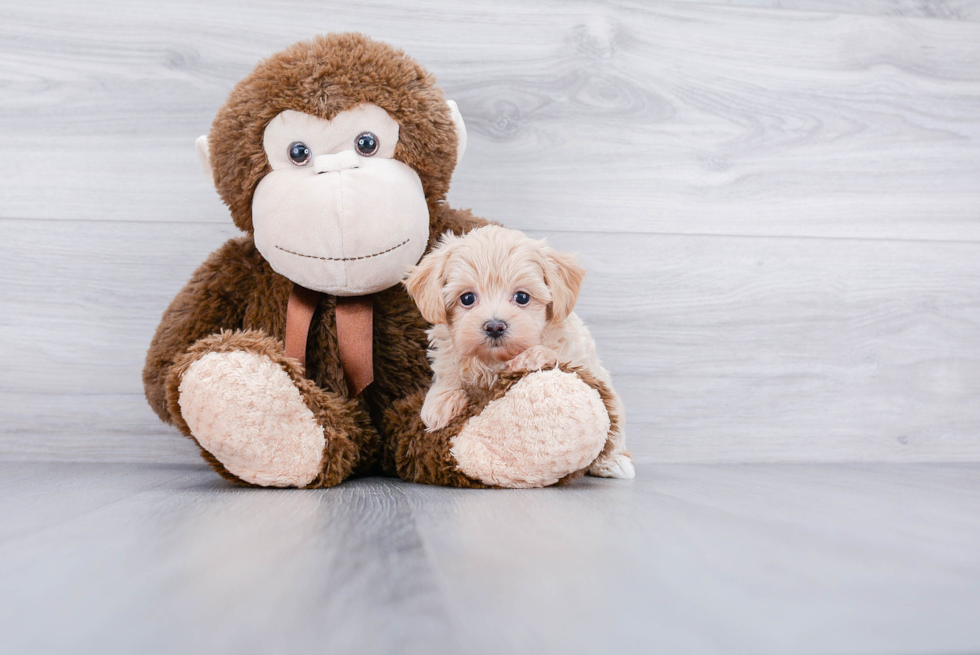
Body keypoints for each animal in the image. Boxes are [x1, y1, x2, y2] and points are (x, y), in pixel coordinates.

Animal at [400, 224, 636, 476]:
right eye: (467, 298)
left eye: (522, 297)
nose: (494, 326)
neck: (494, 360)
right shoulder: (450, 358)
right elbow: (450, 377)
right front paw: (438, 406)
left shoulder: (573, 355)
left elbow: (553, 356)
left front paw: (528, 359)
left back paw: (613, 462)